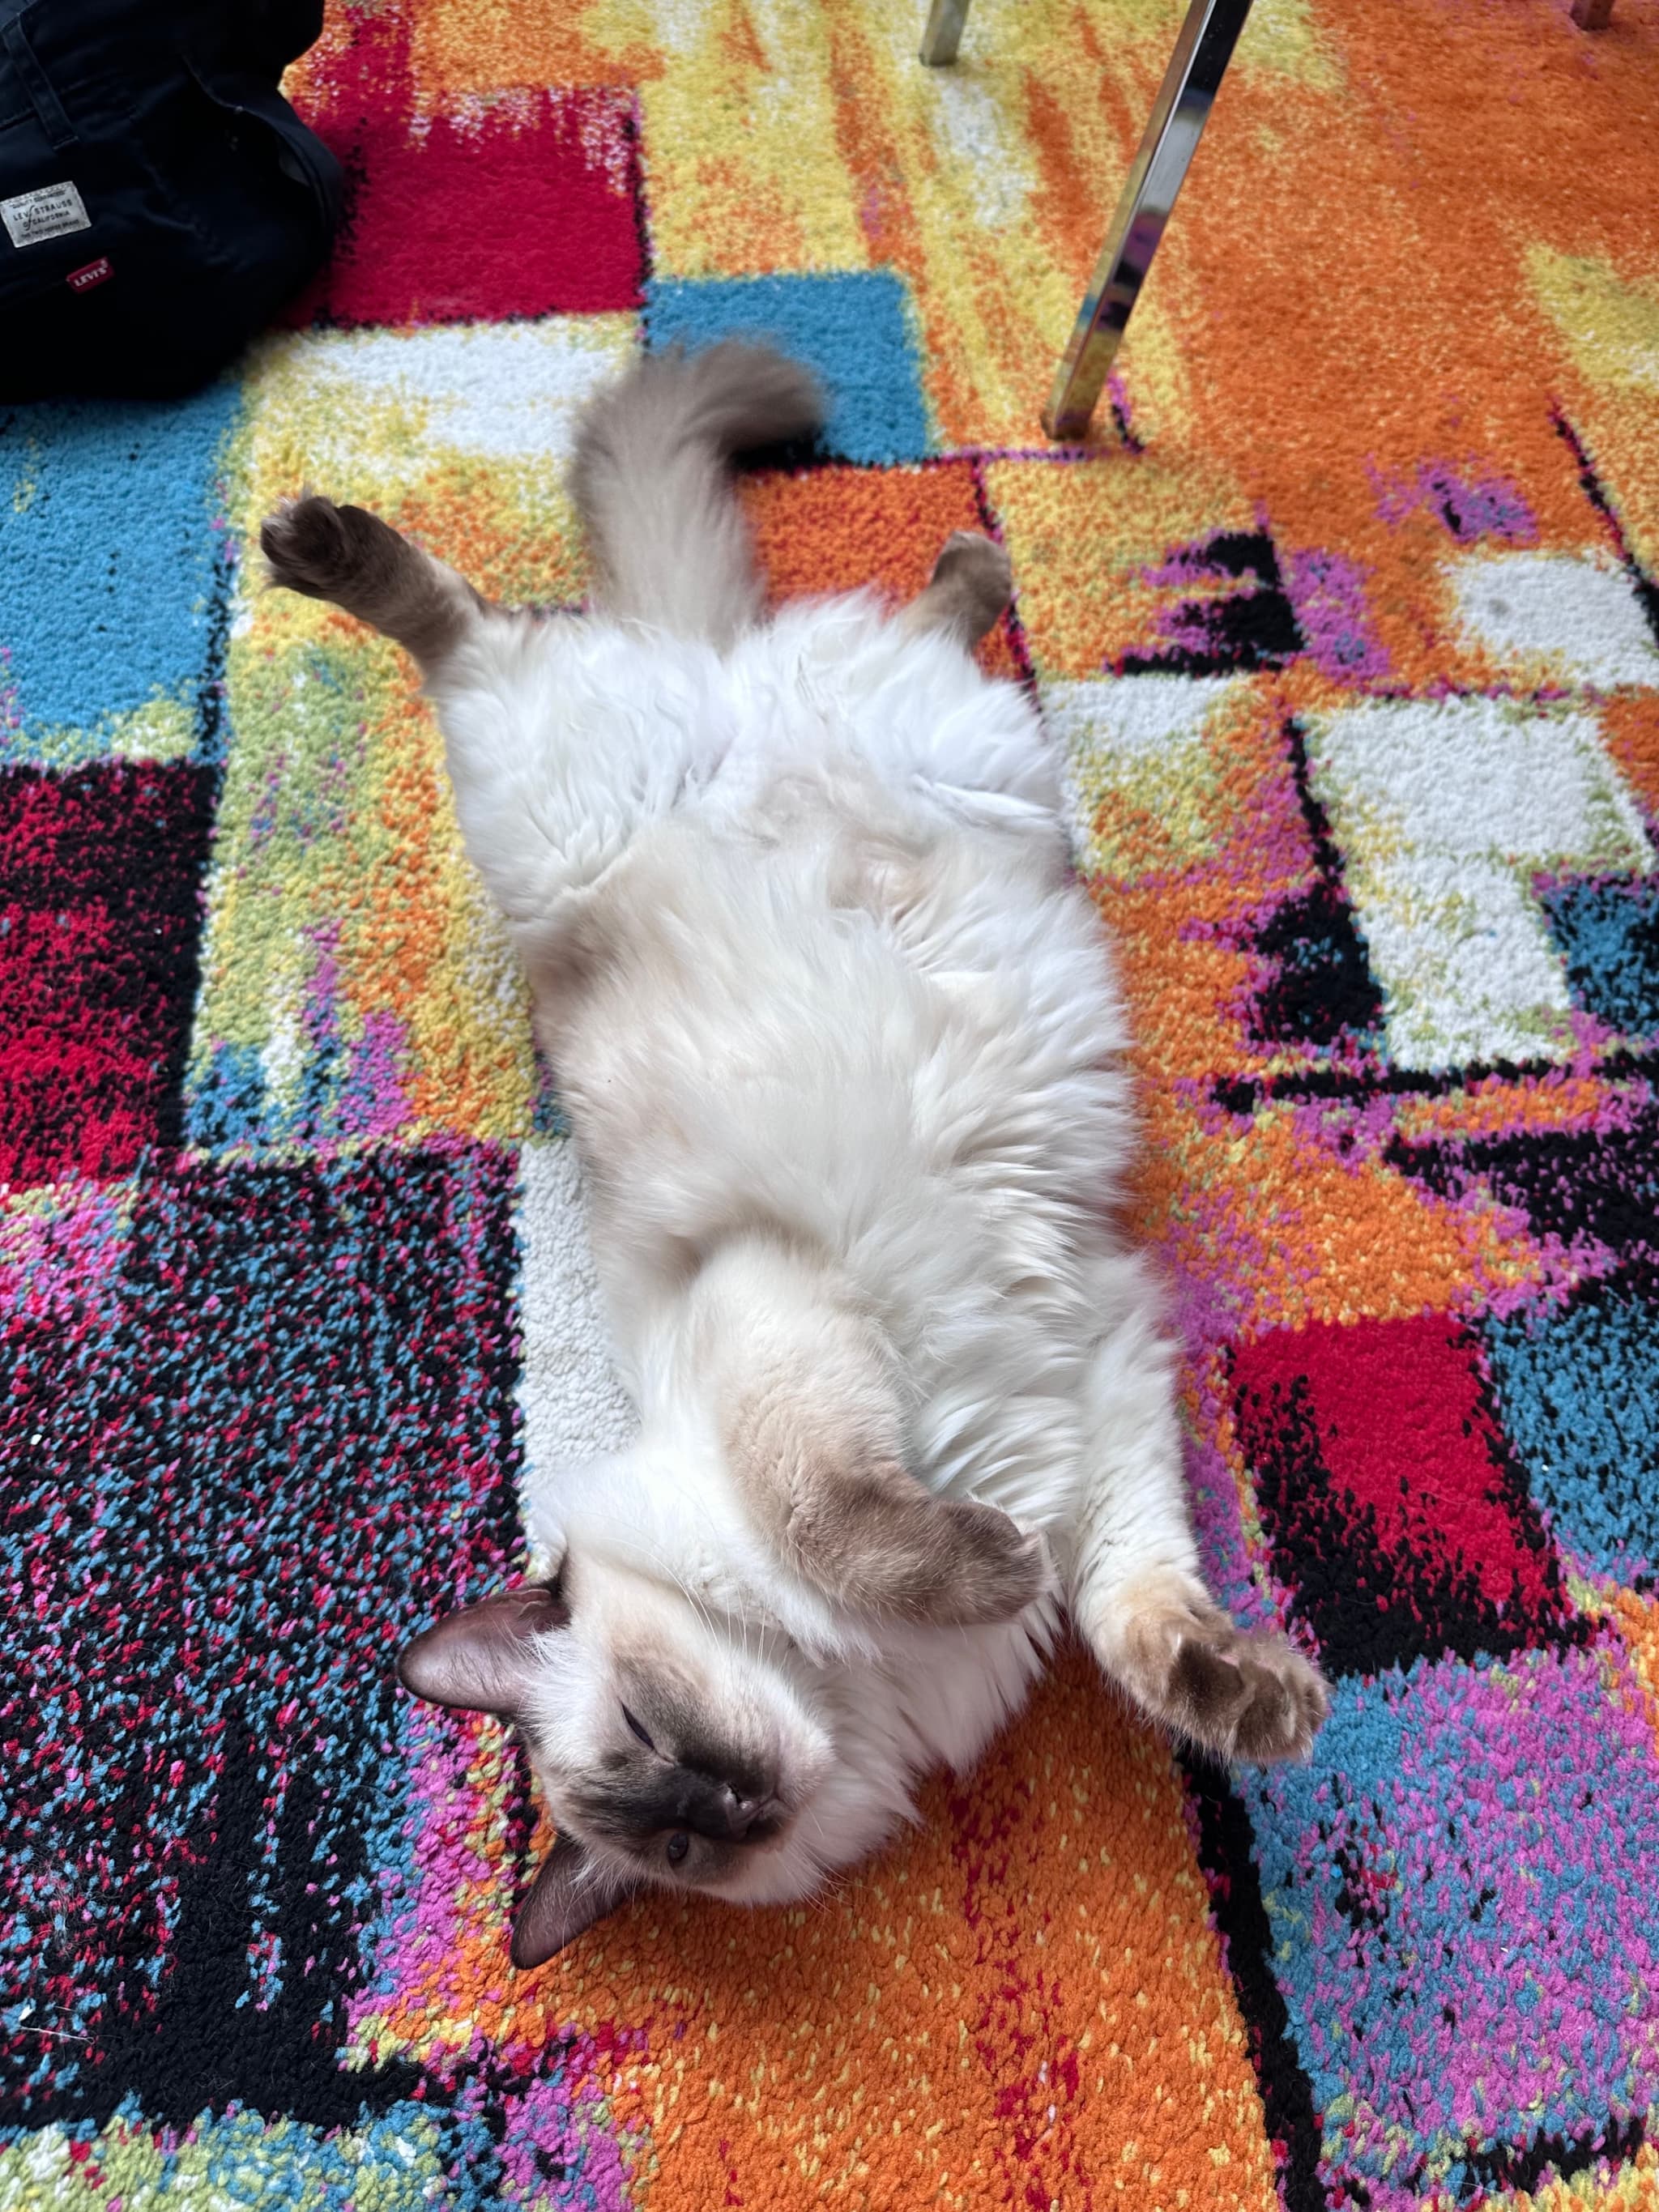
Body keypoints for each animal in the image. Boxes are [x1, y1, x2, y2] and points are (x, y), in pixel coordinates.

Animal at [267, 345, 1336, 1973]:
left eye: (654, 1739)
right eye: (681, 1845)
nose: (729, 1796)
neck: (856, 1674)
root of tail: (723, 675)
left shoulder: (831, 1341)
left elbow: (839, 1521)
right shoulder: (1080, 1409)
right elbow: (1123, 1608)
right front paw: (1236, 1689)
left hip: (564, 791)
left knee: (472, 630)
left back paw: (309, 542)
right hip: (930, 753)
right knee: (914, 620)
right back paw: (969, 556)